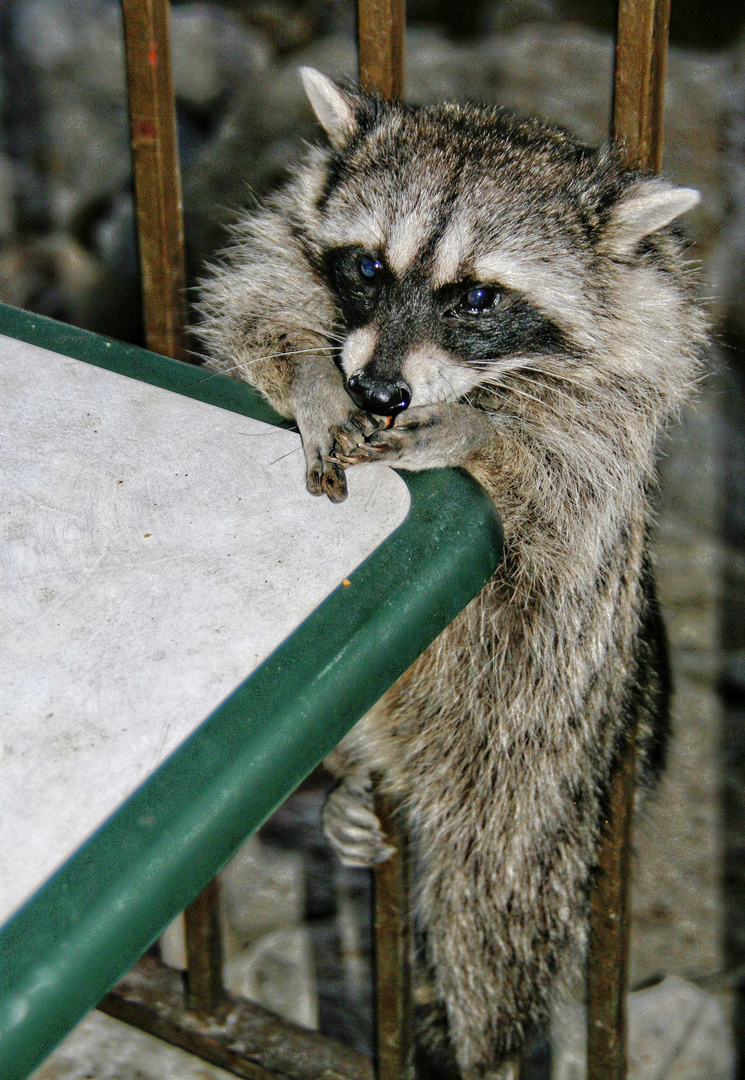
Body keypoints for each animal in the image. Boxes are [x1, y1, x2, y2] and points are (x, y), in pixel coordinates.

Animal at [194, 71, 703, 1075]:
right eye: (367, 268)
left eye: (476, 295)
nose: (378, 393)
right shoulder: (282, 257)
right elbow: (249, 311)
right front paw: (310, 375)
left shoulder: (630, 389)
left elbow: (568, 476)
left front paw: (483, 432)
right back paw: (350, 799)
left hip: (543, 766)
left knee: (491, 916)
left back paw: (489, 1045)